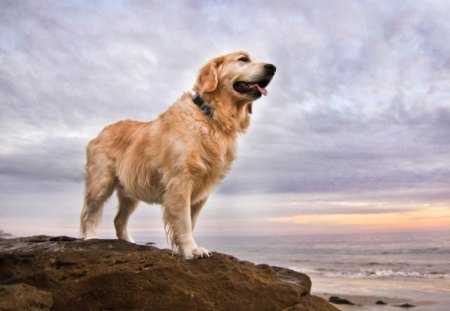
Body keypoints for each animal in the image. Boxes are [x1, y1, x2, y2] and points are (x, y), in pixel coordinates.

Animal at [81, 51, 278, 260]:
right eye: (243, 59)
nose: (272, 67)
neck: (210, 116)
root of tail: (99, 133)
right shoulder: (180, 182)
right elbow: (183, 222)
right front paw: (192, 250)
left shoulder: (201, 191)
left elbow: (191, 222)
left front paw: (186, 248)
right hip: (101, 182)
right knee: (89, 214)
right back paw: (91, 238)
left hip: (130, 192)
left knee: (119, 220)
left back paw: (129, 242)